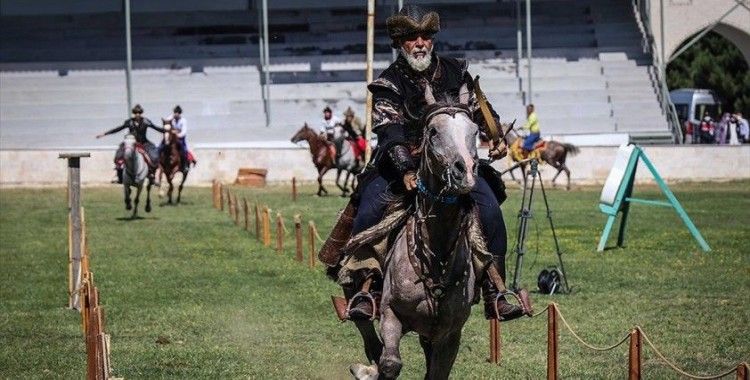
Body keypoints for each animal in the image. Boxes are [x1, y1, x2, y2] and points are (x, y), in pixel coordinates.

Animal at [352, 84, 482, 378]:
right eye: (433, 131)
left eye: (475, 130)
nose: (465, 173)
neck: (437, 252)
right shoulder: (390, 314)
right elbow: (390, 362)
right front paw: (374, 368)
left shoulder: (449, 334)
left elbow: (436, 372)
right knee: (366, 328)